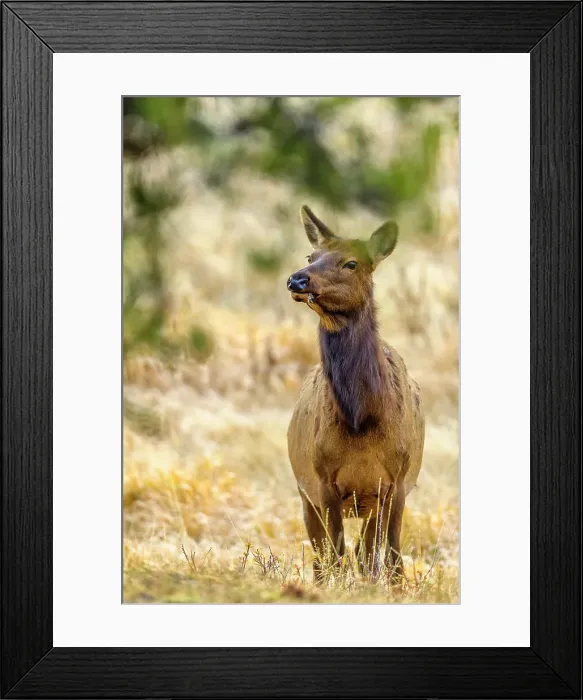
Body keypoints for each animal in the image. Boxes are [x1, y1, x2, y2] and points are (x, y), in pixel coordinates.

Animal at [286, 205, 425, 584]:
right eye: (311, 256)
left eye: (351, 263)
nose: (298, 280)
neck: (362, 421)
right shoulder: (322, 481)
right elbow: (335, 556)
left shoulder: (394, 483)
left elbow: (387, 559)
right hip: (305, 492)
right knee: (324, 558)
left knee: (375, 555)